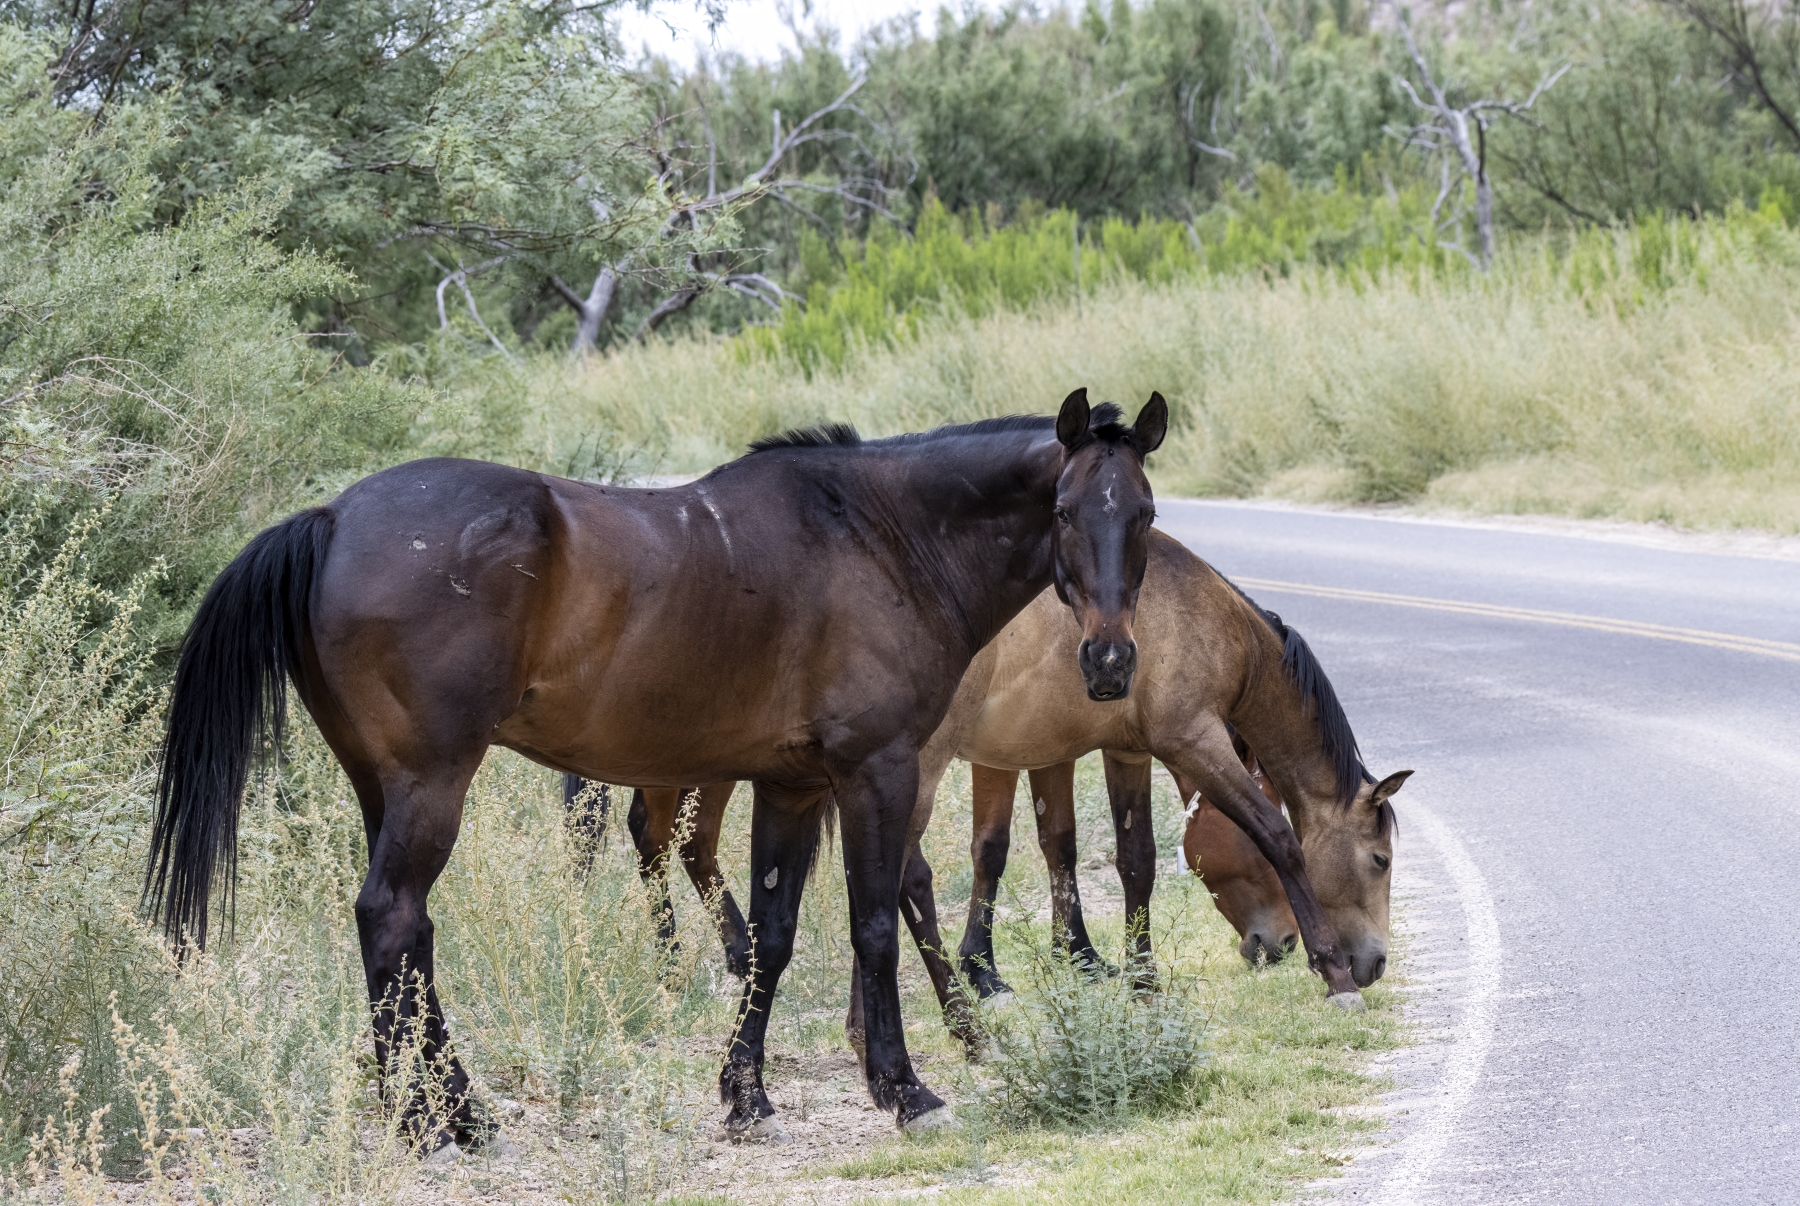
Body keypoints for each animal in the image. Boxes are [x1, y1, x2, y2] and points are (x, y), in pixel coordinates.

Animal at [145, 390, 1167, 1152]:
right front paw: (902, 1088)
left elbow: (772, 937)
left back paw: (446, 1111)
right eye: (1066, 512)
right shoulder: (874, 772)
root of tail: (332, 516)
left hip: (379, 787)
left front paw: (746, 1096)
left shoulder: (792, 786)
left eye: (1146, 515)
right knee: (392, 920)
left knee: (408, 937)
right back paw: (438, 1121)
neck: (878, 537)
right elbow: (872, 925)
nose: (1111, 663)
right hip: (432, 784)